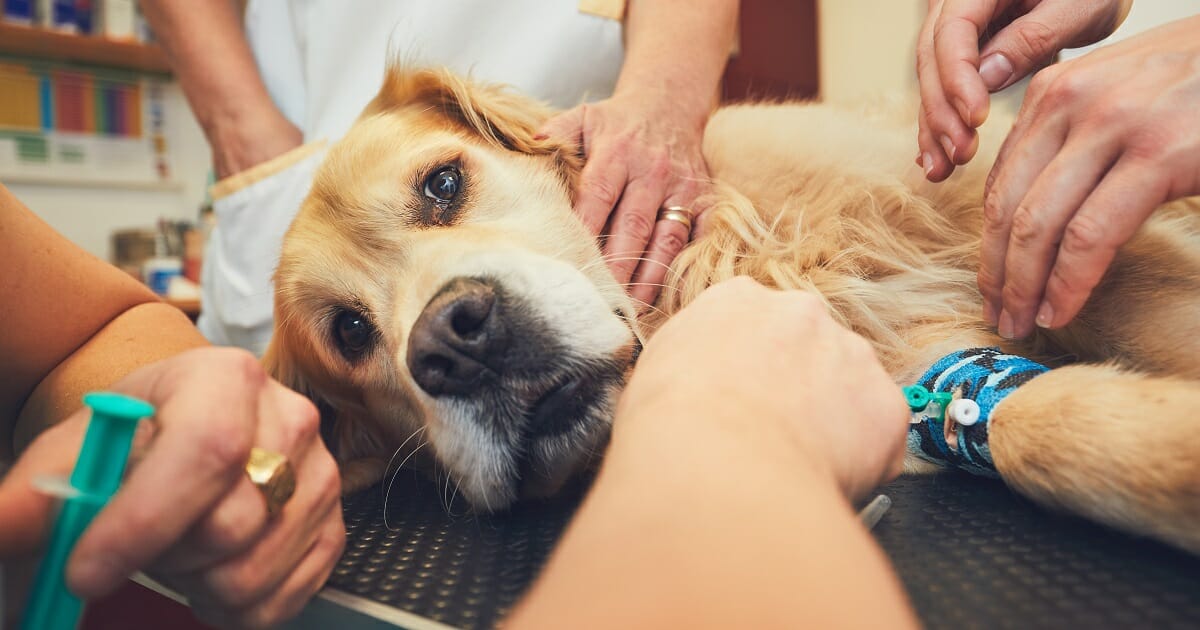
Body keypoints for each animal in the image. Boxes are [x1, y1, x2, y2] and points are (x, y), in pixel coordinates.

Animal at [267, 65, 1200, 549]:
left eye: (443, 185)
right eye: (350, 333)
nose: (455, 343)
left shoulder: (1023, 222)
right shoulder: (922, 380)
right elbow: (1035, 425)